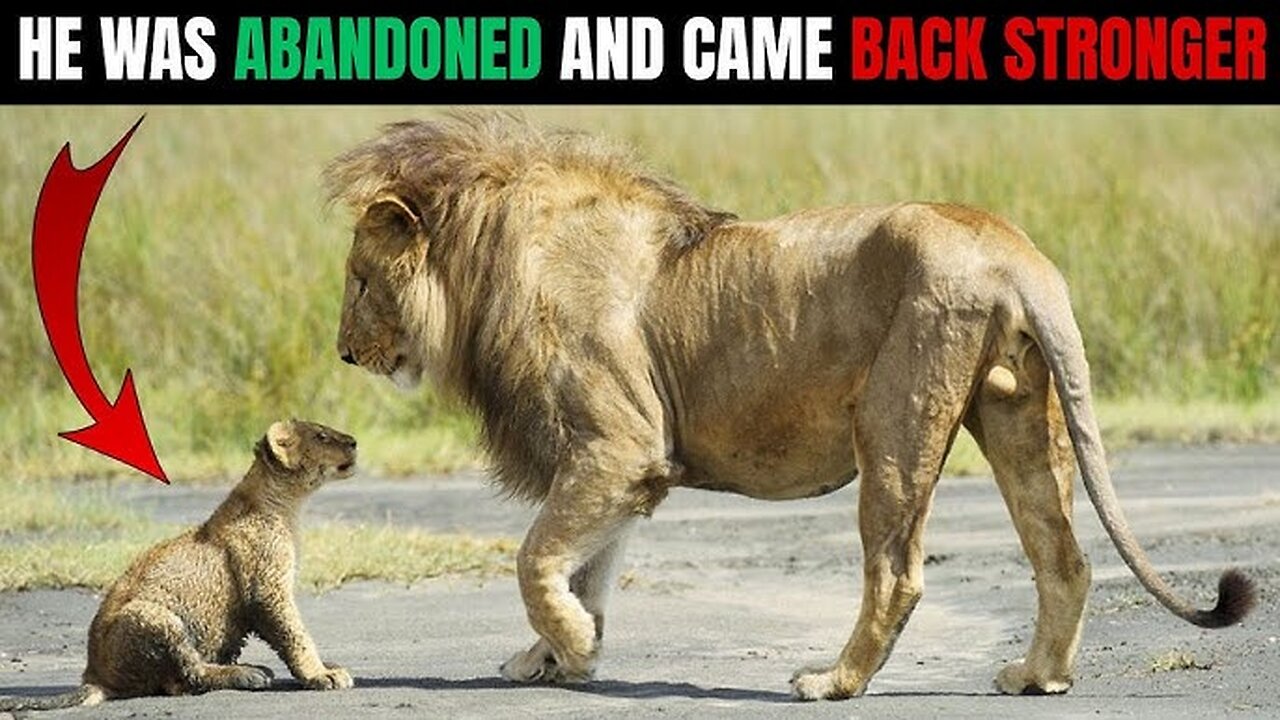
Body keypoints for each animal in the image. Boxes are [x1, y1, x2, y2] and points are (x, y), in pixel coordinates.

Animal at [0, 420, 358, 712]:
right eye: (321, 435)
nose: (354, 442)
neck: (285, 504)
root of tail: (95, 675)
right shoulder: (267, 590)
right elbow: (295, 635)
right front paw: (322, 674)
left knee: (176, 682)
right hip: (153, 615)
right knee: (188, 677)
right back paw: (248, 673)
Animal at [325, 112, 1255, 700]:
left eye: (361, 283)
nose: (341, 353)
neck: (489, 258)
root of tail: (1009, 246)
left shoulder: (619, 446)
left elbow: (535, 557)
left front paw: (573, 648)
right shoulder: (622, 468)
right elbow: (584, 566)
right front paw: (550, 656)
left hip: (894, 422)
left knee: (898, 573)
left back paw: (832, 683)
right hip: (1021, 417)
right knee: (1063, 558)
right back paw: (1038, 678)